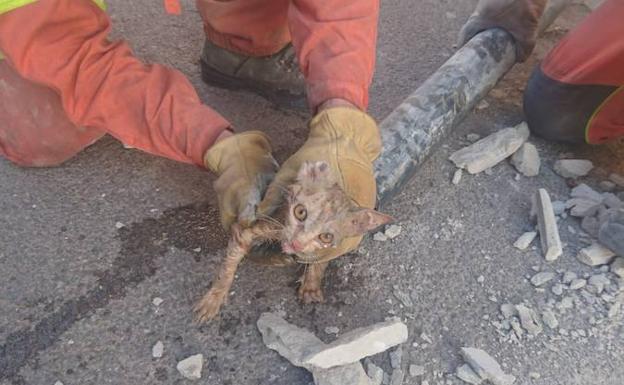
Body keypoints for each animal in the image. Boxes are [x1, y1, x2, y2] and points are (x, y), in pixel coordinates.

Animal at [193, 159, 392, 320]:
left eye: (326, 237)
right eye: (300, 212)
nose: (297, 243)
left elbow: (321, 259)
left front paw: (311, 284)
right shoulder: (262, 226)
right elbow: (228, 266)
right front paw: (214, 297)